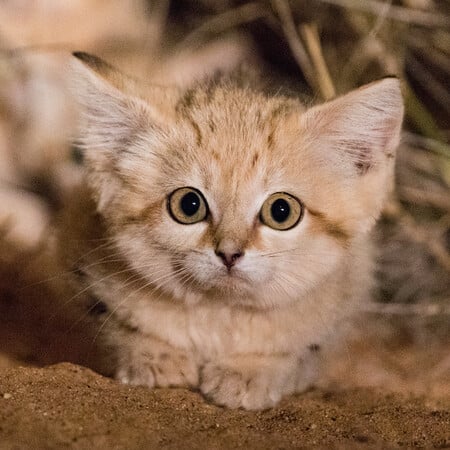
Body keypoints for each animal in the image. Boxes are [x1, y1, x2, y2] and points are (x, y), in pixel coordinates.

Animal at [62, 51, 400, 410]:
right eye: (188, 205)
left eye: (281, 211)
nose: (229, 253)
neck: (219, 315)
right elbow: (116, 326)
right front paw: (153, 355)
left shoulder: (345, 300)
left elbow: (296, 352)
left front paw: (249, 370)